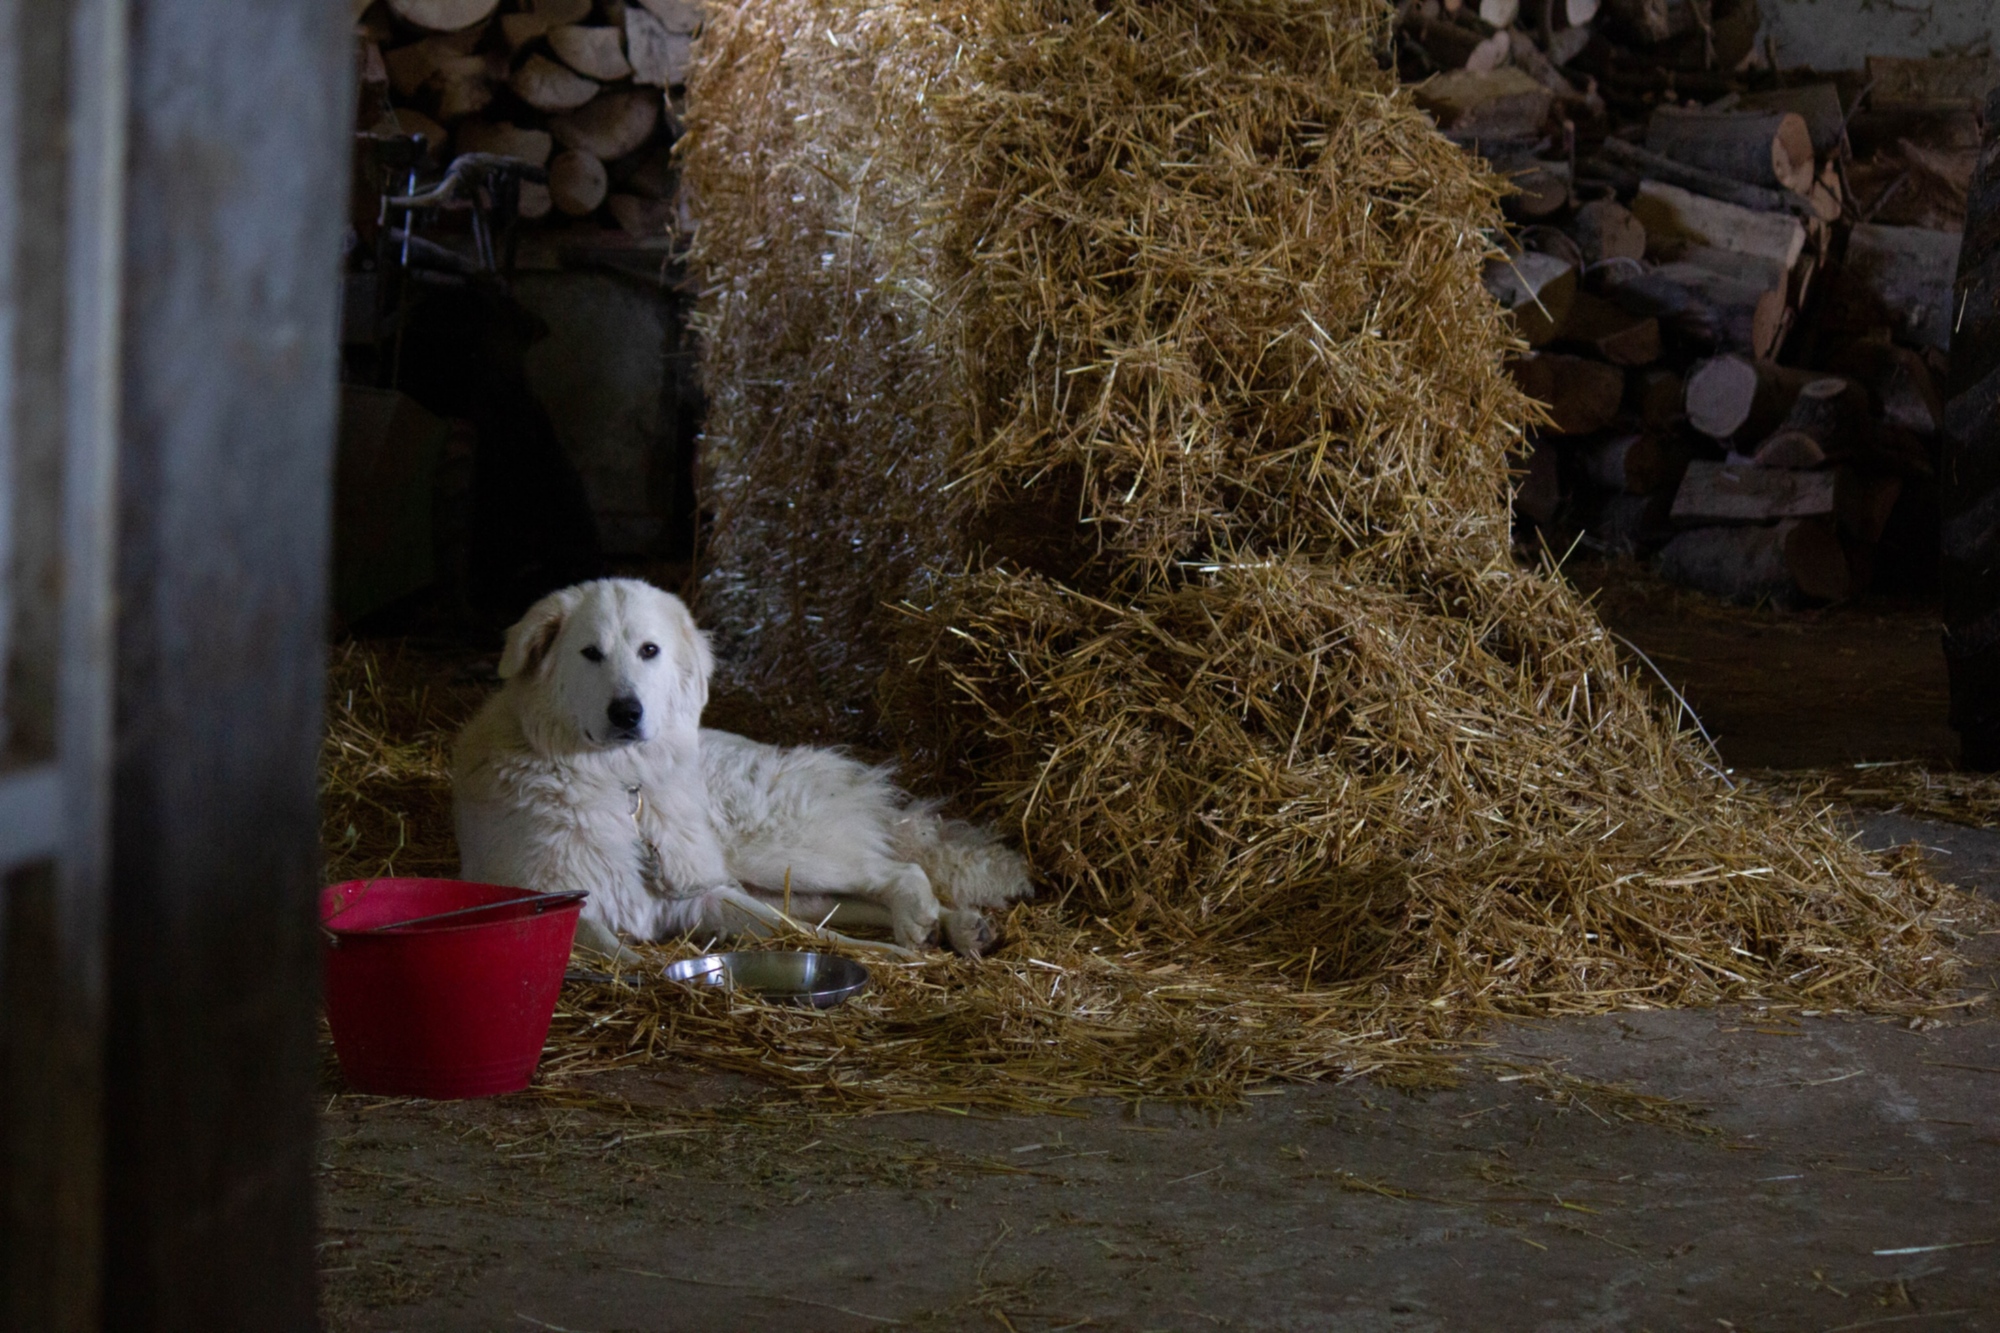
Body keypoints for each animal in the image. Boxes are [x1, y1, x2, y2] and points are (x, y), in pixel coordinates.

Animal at [452, 580, 1032, 956]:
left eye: (649, 650)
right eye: (590, 653)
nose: (627, 712)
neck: (625, 787)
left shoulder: (705, 895)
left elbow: (820, 939)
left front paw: (887, 958)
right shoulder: (569, 906)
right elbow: (620, 955)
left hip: (770, 854)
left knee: (897, 872)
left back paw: (928, 924)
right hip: (776, 877)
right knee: (859, 898)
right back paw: (956, 928)